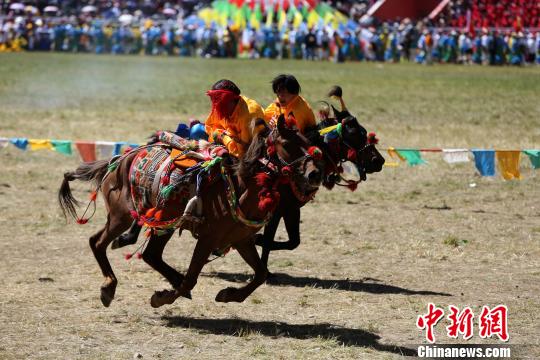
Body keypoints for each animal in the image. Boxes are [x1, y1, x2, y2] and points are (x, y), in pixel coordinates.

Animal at [58, 116, 324, 308]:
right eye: (288, 144)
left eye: (307, 140)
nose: (315, 174)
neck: (241, 186)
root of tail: (121, 158)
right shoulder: (207, 239)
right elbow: (192, 279)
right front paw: (161, 298)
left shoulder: (241, 240)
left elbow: (261, 274)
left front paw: (229, 295)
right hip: (121, 217)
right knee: (98, 242)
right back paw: (109, 288)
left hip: (162, 222)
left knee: (151, 255)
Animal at [256, 88, 386, 272]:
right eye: (355, 133)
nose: (378, 160)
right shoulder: (275, 211)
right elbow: (268, 241)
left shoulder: (291, 209)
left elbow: (293, 242)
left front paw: (259, 244)